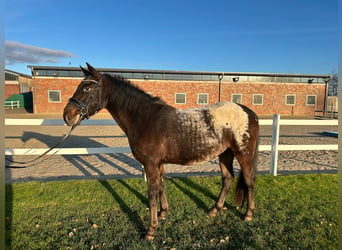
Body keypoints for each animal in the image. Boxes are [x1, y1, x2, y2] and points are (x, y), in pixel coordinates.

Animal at [62, 63, 260, 240]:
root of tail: (249, 112)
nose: (67, 115)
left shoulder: (150, 164)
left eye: (87, 89)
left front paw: (150, 230)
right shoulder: (159, 164)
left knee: (248, 180)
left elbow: (152, 194)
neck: (145, 118)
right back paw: (214, 210)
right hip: (225, 153)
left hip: (243, 154)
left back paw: (248, 214)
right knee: (228, 179)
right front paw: (163, 213)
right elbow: (162, 186)